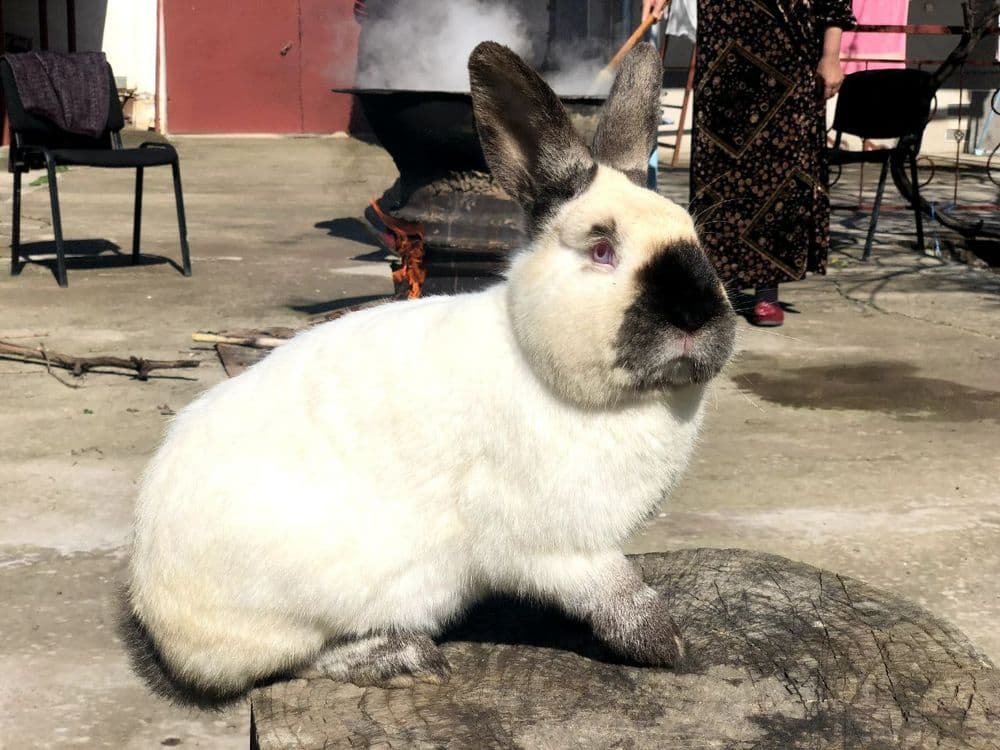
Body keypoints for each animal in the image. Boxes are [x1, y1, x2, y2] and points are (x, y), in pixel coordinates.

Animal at [122, 40, 737, 706]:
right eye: (602, 249)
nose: (695, 313)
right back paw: (400, 656)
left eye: (697, 238)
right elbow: (620, 596)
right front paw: (673, 649)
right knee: (279, 664)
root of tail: (153, 609)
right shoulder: (562, 549)